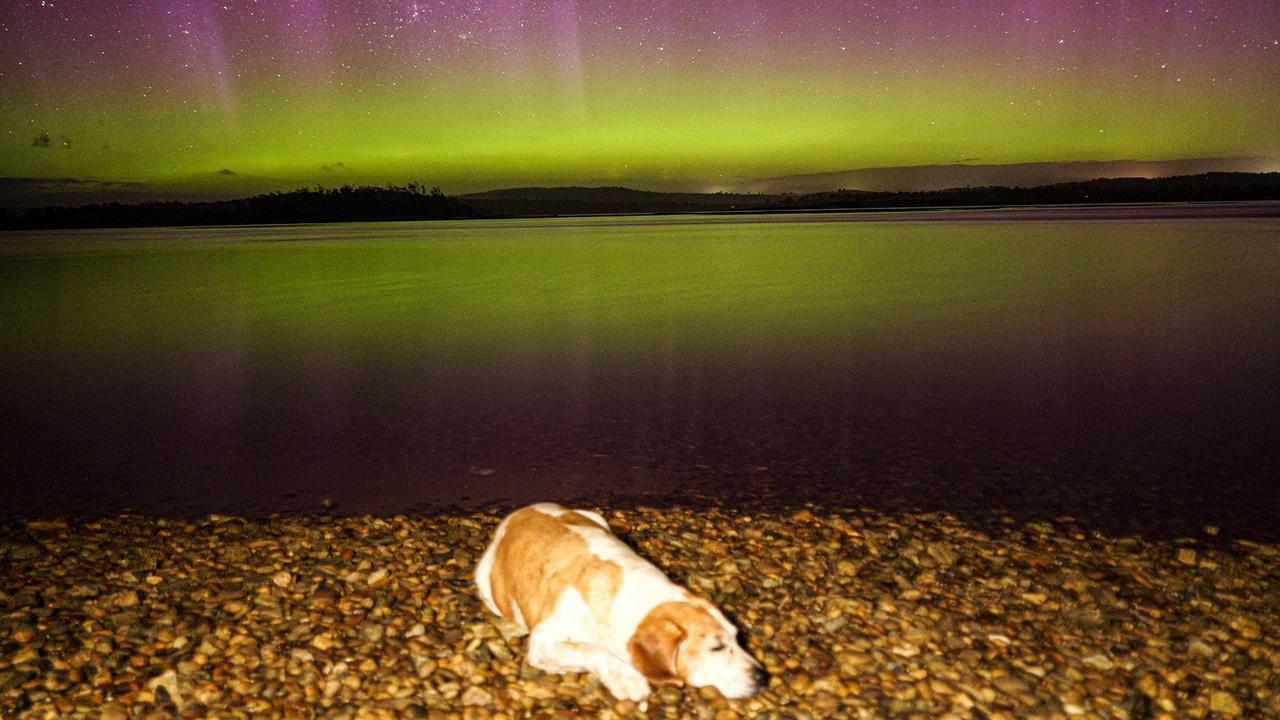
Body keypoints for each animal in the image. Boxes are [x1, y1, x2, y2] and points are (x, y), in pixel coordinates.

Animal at [476, 502, 762, 696]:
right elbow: (593, 649)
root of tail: (520, 512)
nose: (762, 677)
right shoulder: (543, 643)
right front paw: (627, 678)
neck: (639, 597)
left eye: (738, 637)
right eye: (716, 648)